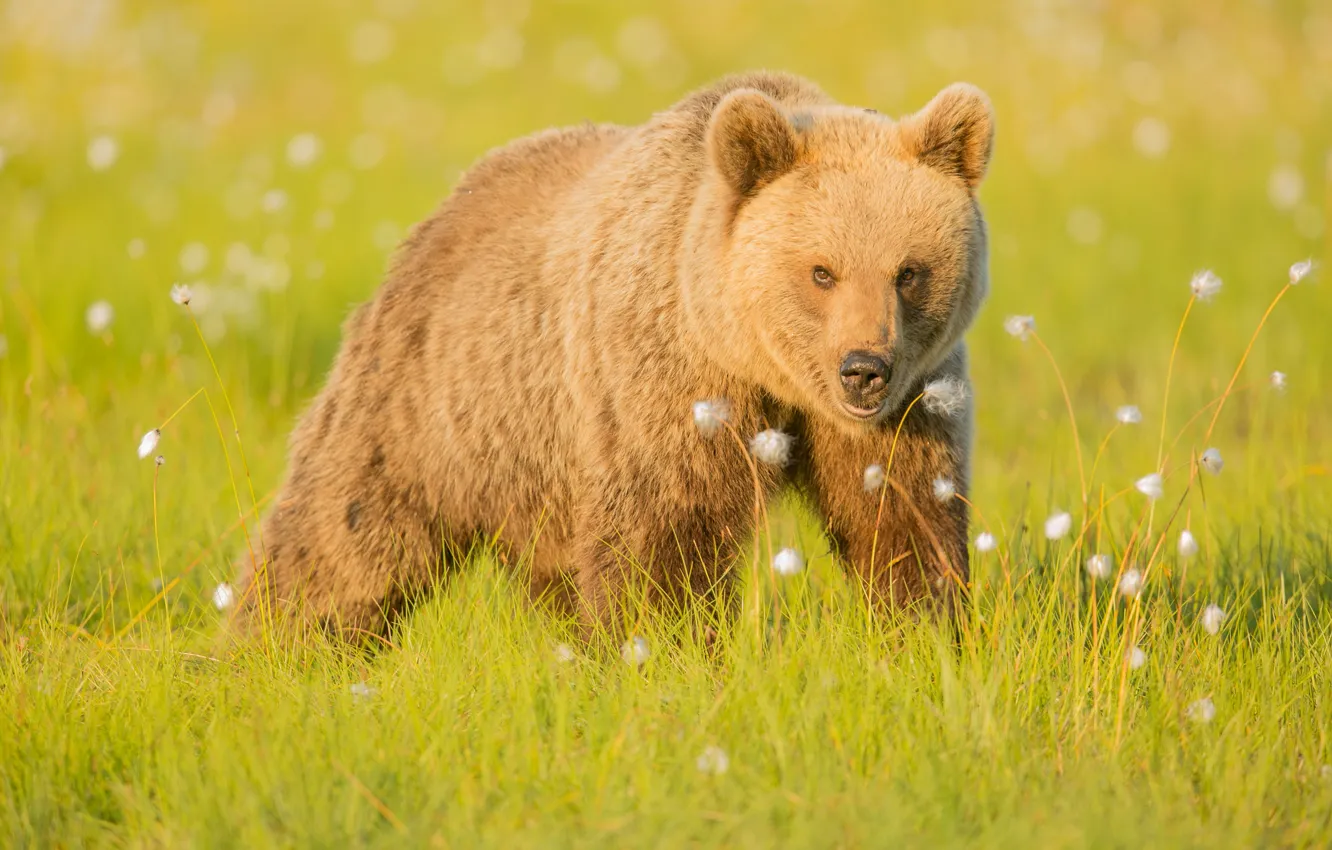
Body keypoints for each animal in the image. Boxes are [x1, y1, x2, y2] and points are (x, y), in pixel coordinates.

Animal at [235, 70, 994, 641]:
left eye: (909, 271)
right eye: (821, 272)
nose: (863, 368)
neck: (756, 363)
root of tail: (446, 208)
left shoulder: (910, 405)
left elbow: (902, 515)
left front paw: (924, 630)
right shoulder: (661, 380)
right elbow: (663, 534)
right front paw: (666, 648)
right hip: (429, 402)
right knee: (342, 537)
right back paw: (273, 649)